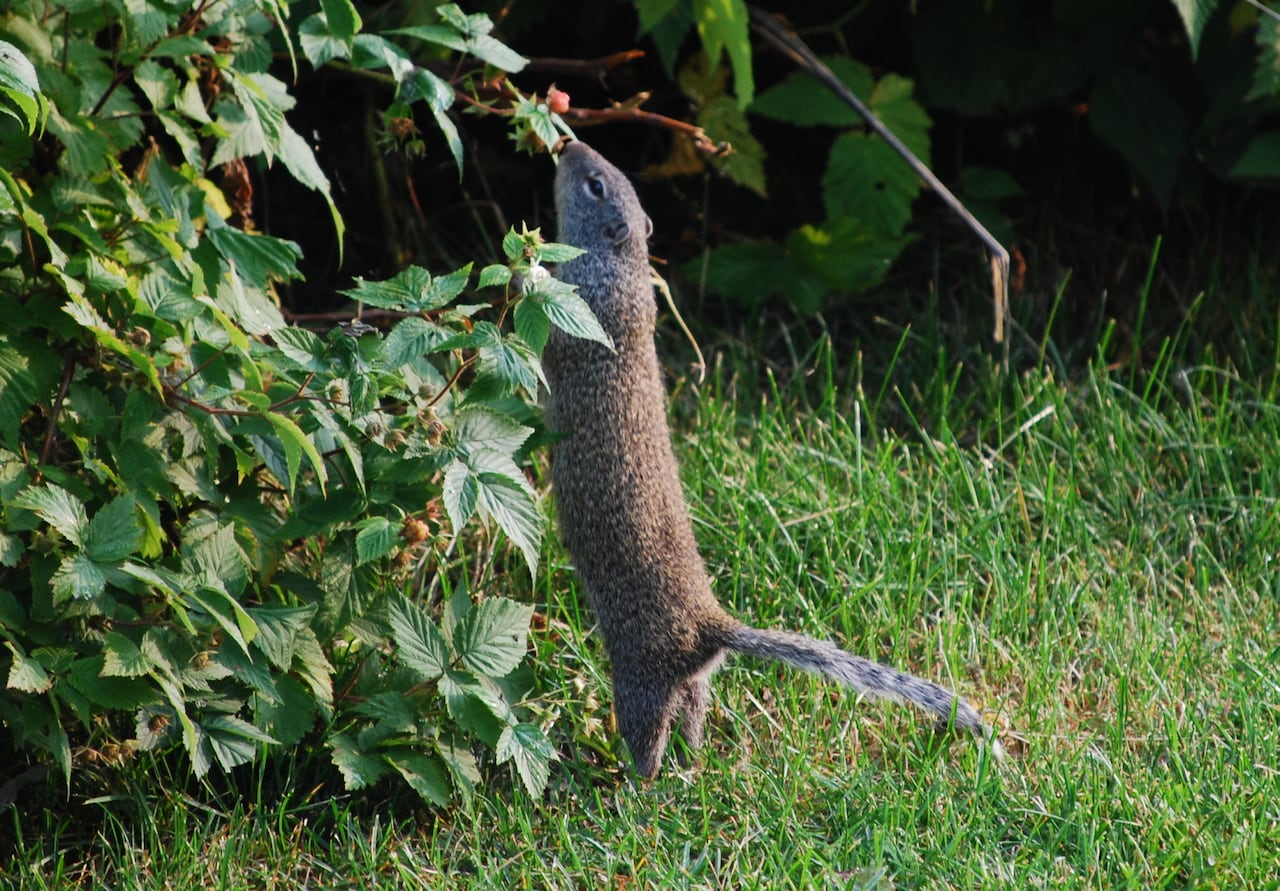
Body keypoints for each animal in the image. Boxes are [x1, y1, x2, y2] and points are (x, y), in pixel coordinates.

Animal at [542, 140, 998, 778]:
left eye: (595, 185)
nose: (566, 143)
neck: (621, 272)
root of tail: (710, 631)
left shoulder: (579, 322)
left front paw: (525, 272)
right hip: (690, 686)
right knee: (691, 719)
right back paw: (688, 769)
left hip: (637, 676)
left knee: (649, 735)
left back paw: (635, 782)